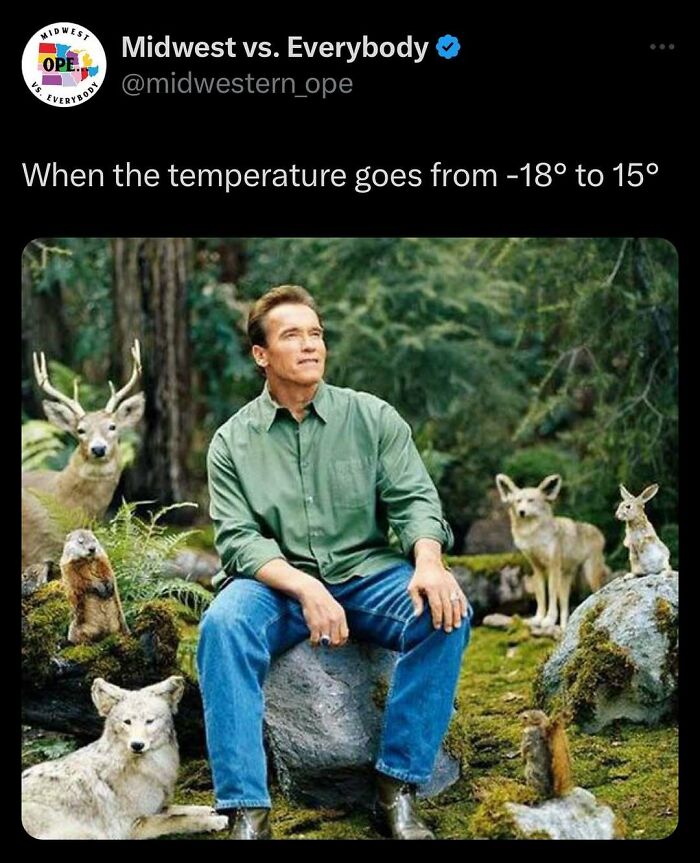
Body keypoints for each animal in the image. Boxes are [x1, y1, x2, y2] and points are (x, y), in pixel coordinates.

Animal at [21, 680, 227, 840]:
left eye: (149, 721)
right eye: (127, 722)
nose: (137, 745)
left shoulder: (155, 807)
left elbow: (176, 809)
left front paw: (207, 809)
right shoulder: (133, 825)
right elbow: (178, 819)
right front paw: (214, 821)